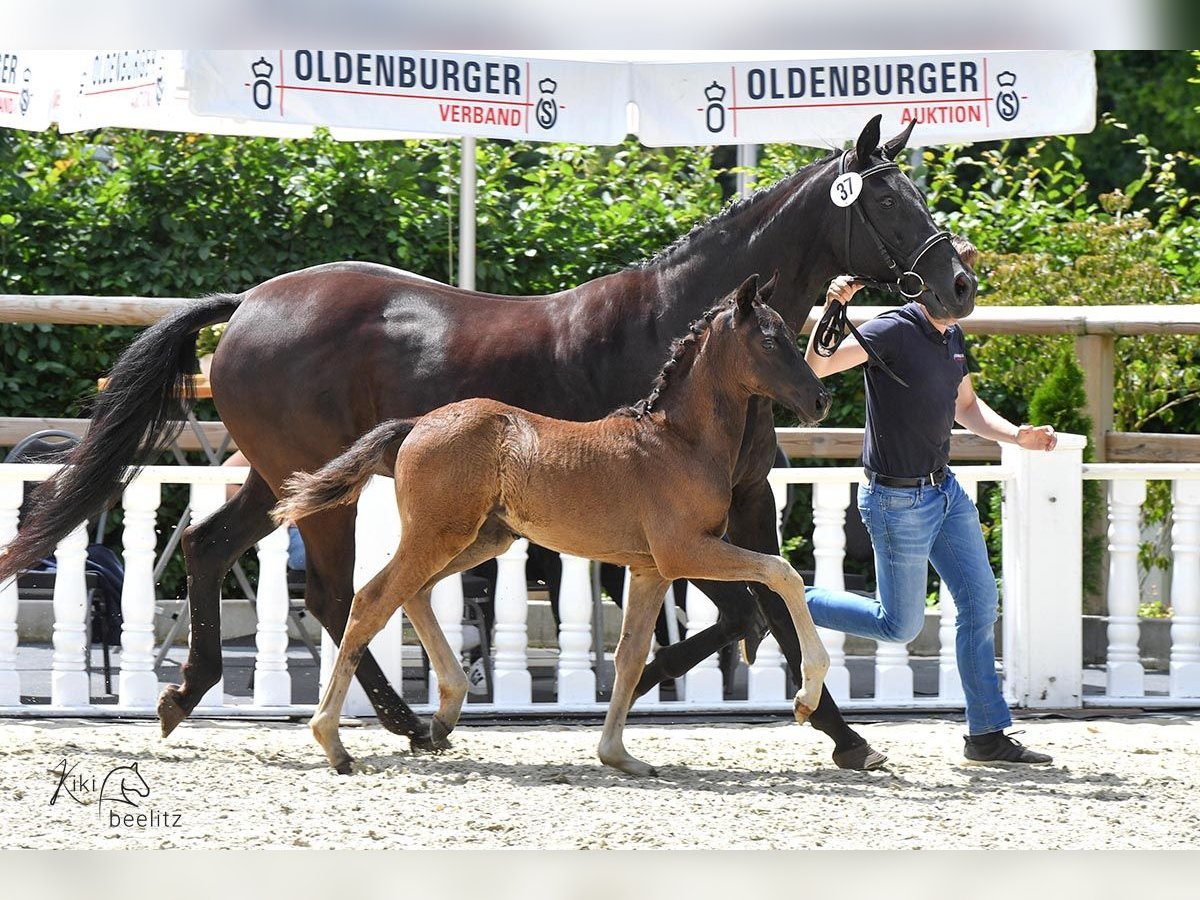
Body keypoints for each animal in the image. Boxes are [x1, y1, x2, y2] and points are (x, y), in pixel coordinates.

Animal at [272, 278, 835, 777]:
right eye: (769, 338)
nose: (821, 399)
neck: (679, 443)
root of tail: (416, 424)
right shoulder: (686, 550)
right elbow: (782, 572)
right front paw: (805, 696)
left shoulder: (651, 569)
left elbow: (630, 655)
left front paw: (618, 755)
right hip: (439, 535)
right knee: (371, 601)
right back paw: (334, 741)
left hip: (481, 538)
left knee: (413, 594)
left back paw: (443, 715)